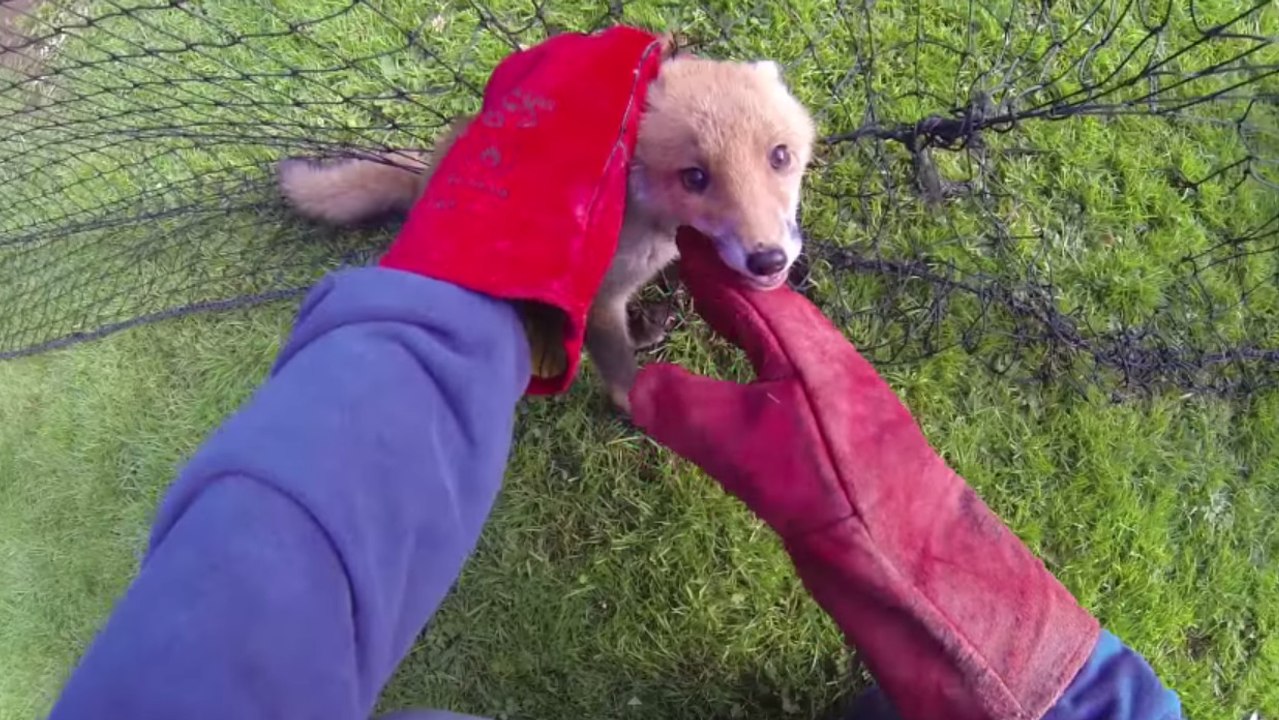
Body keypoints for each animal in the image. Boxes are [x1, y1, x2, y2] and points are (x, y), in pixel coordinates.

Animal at [276, 48, 817, 413]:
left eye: (780, 156)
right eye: (695, 178)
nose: (768, 259)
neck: (644, 221)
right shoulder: (595, 300)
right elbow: (621, 373)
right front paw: (638, 408)